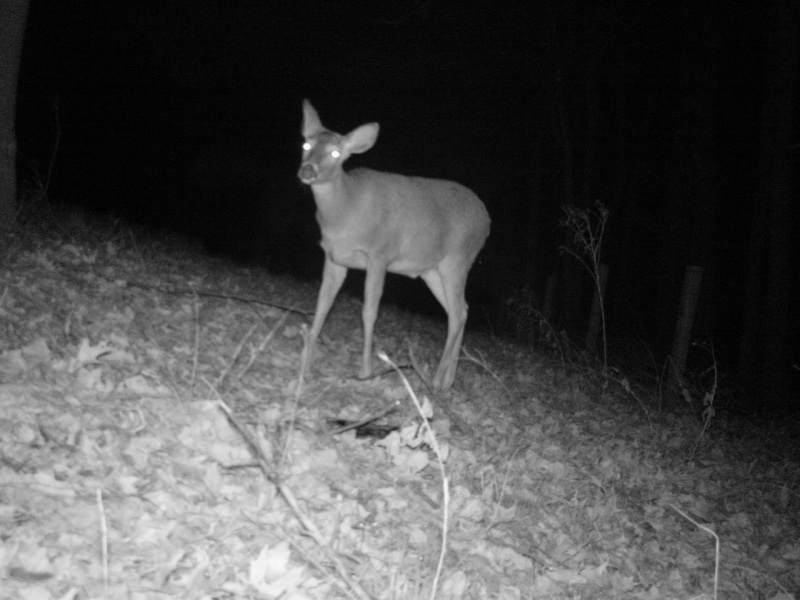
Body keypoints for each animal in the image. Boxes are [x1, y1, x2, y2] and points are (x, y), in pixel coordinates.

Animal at [296, 101, 490, 392]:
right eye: (306, 144)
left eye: (335, 152)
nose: (308, 170)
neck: (346, 210)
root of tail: (488, 221)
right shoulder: (334, 258)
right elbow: (322, 306)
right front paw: (306, 367)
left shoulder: (380, 254)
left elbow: (369, 311)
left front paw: (365, 372)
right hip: (432, 270)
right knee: (462, 310)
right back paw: (448, 381)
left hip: (457, 259)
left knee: (457, 313)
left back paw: (435, 381)